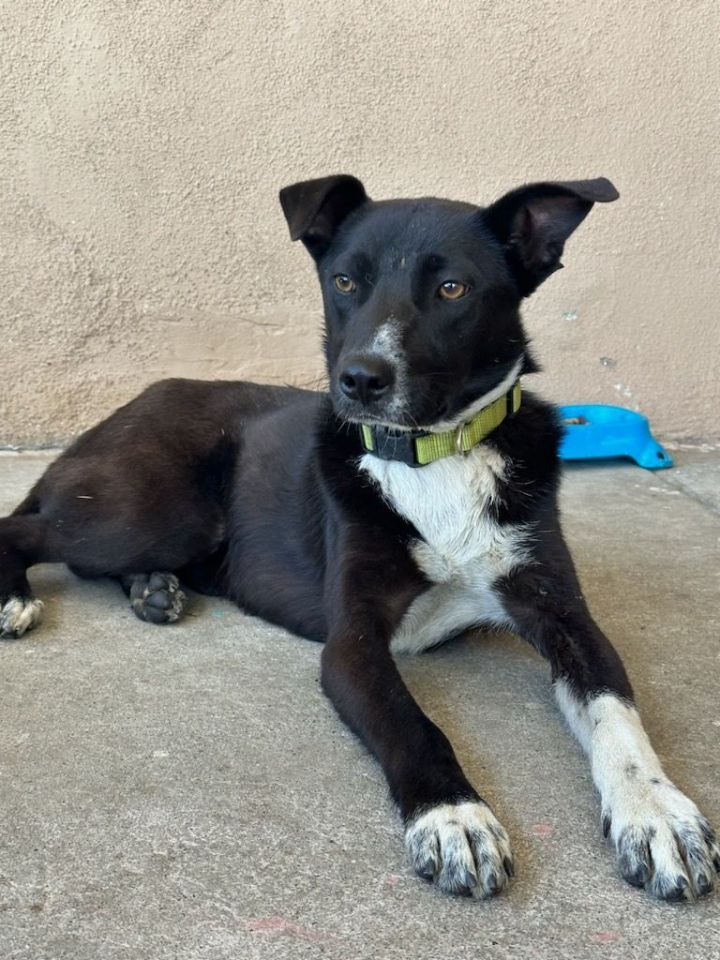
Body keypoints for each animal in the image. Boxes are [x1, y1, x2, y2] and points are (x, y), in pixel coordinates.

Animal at [2, 176, 716, 904]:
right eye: (344, 280)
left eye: (452, 288)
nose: (361, 379)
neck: (435, 455)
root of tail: (123, 409)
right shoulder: (352, 642)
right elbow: (411, 721)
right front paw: (454, 816)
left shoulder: (562, 612)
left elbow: (615, 710)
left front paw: (657, 812)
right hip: (157, 508)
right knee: (24, 530)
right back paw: (22, 598)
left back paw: (153, 589)